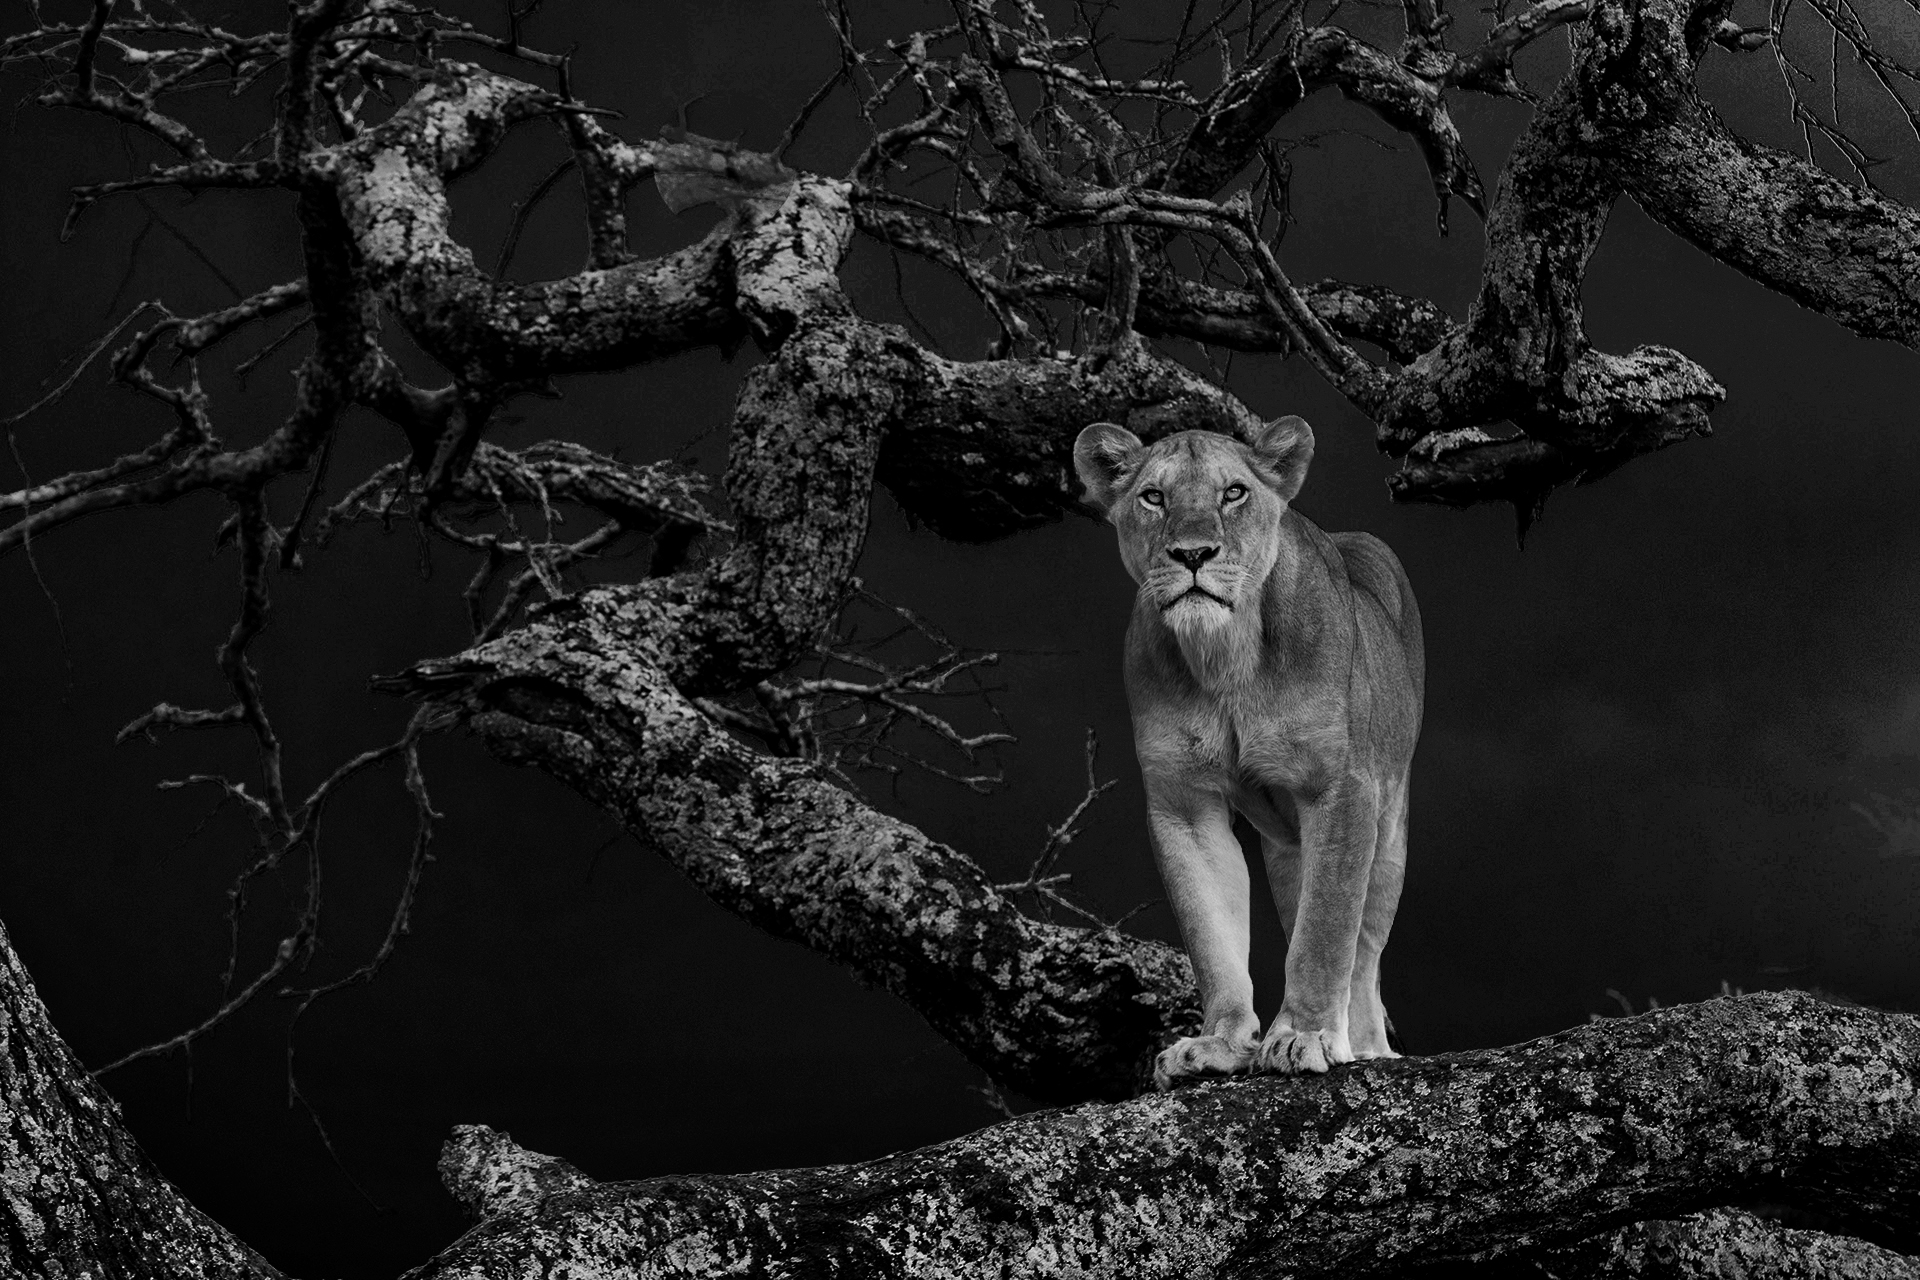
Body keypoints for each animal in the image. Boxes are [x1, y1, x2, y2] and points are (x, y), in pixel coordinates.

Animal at [1073, 417, 1424, 1088]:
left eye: (1233, 492)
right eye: (1153, 497)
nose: (1192, 555)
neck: (1224, 654)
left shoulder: (1340, 788)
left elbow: (1326, 932)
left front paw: (1305, 1037)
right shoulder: (1183, 805)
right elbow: (1213, 936)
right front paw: (1219, 1044)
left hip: (1388, 826)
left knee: (1363, 949)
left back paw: (1363, 1043)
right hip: (1289, 842)